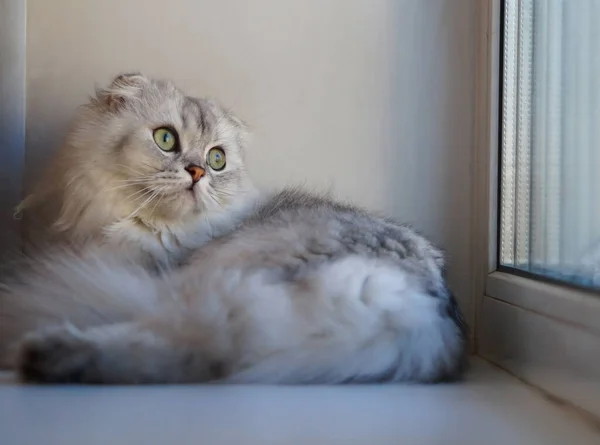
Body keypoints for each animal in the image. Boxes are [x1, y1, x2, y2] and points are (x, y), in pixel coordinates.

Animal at [0, 73, 468, 382]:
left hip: (214, 286)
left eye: (217, 159)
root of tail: (423, 311)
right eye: (165, 139)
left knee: (196, 345)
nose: (196, 172)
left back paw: (44, 352)